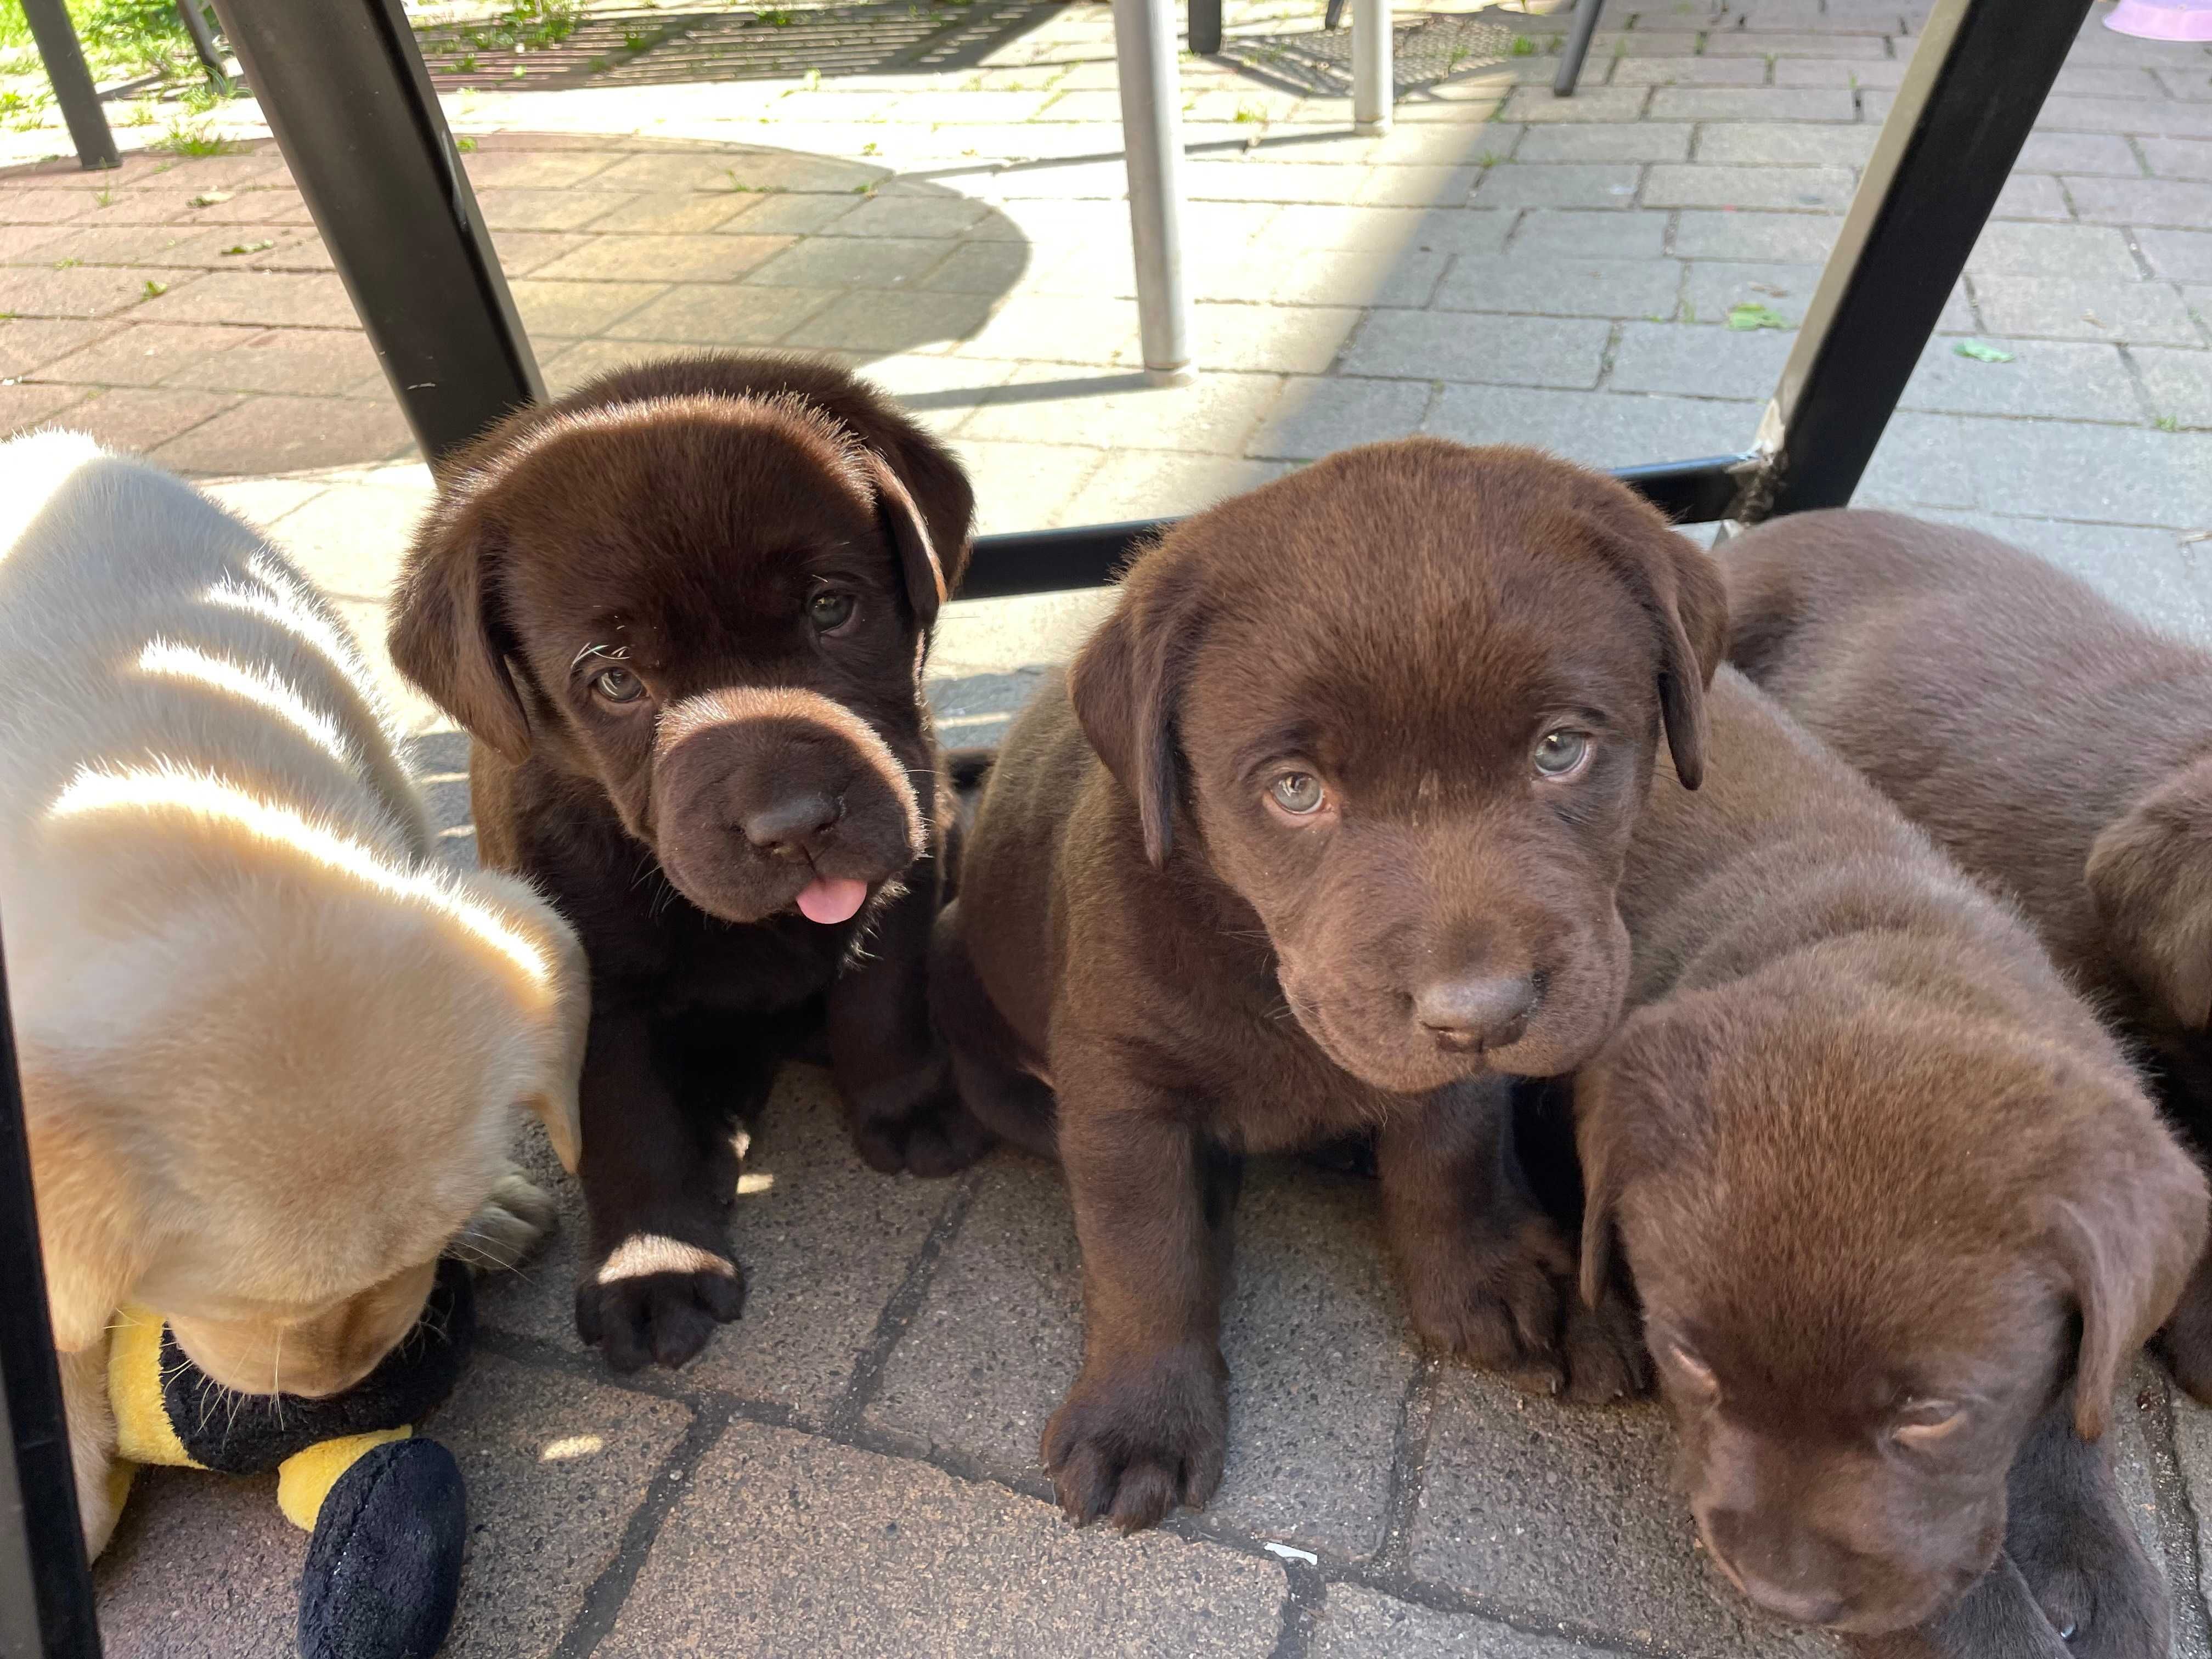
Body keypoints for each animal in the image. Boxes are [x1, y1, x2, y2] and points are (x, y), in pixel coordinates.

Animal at [393, 352, 991, 1380]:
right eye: (614, 679)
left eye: (832, 606)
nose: (796, 823)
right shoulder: (584, 978)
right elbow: (624, 1117)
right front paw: (655, 1262)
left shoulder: (907, 851)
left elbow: (882, 997)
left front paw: (910, 1106)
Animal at [933, 438, 1725, 1531]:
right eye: (1295, 790)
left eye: (1561, 747)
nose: (1481, 1014)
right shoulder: (1118, 1087)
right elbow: (1143, 1250)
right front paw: (1142, 1413)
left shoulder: (1452, 1077)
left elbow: (1449, 1143)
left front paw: (1477, 1271)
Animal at [1583, 668, 2203, 1654]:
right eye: (1690, 1361)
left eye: (1930, 1414)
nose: (1784, 1593)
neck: (1892, 940)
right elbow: (1947, 1587)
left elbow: (2072, 1404)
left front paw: (2088, 1553)